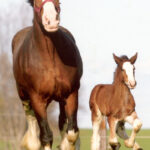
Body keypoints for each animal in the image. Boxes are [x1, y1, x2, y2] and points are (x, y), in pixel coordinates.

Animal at [11, 0, 82, 149]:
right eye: (36, 3)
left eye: (59, 2)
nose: (52, 21)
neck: (50, 57)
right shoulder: (37, 98)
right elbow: (46, 136)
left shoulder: (71, 93)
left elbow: (72, 134)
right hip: (24, 97)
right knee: (32, 129)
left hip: (61, 99)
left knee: (63, 124)